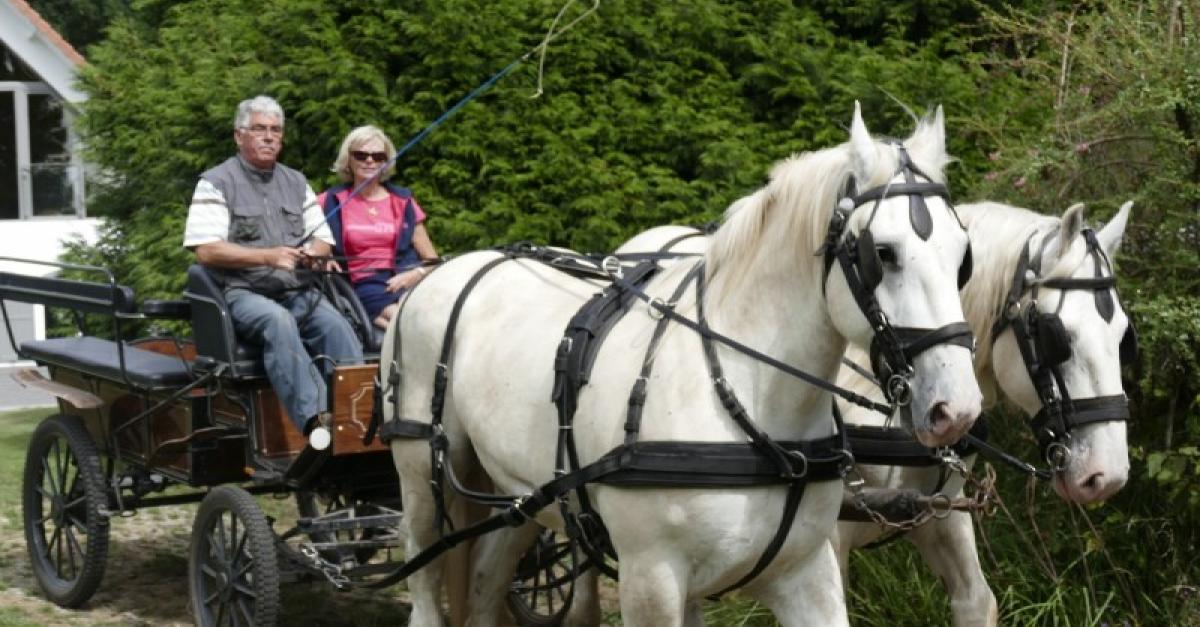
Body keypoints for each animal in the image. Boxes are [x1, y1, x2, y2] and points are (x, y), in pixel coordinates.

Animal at [379, 103, 979, 624]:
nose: (958, 409)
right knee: (426, 587)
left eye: (963, 256)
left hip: (518, 497)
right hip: (424, 483)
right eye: (884, 253)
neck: (747, 396)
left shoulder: (806, 574)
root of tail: (436, 274)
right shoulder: (652, 579)